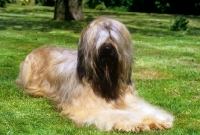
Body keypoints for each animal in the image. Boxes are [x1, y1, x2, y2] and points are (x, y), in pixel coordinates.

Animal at [16, 16, 173, 132]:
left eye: (113, 36)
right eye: (98, 37)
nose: (107, 48)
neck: (105, 81)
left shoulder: (129, 99)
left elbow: (143, 108)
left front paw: (158, 120)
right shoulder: (89, 108)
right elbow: (117, 114)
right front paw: (136, 123)